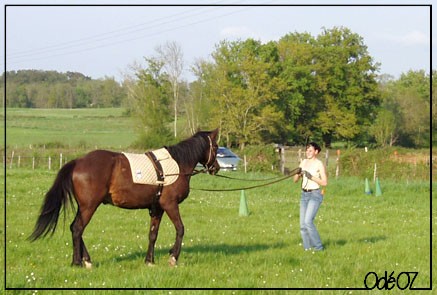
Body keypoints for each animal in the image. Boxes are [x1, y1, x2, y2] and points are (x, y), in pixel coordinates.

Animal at [29, 130, 220, 268]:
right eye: (217, 147)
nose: (216, 168)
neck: (177, 165)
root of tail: (78, 161)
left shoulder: (157, 208)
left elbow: (153, 234)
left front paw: (149, 261)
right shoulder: (170, 204)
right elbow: (180, 229)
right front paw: (173, 257)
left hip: (84, 206)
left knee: (75, 228)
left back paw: (87, 260)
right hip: (89, 206)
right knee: (77, 229)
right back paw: (77, 262)